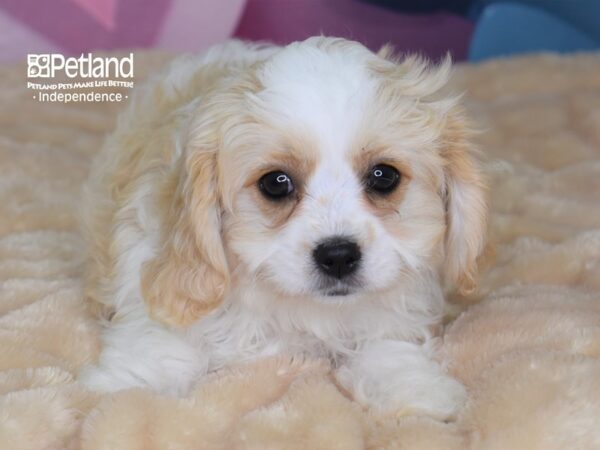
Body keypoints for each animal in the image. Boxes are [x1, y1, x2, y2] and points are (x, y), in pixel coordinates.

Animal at [78, 37, 488, 420]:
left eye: (384, 176)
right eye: (275, 183)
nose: (338, 256)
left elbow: (386, 341)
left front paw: (413, 387)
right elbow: (161, 342)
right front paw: (128, 389)